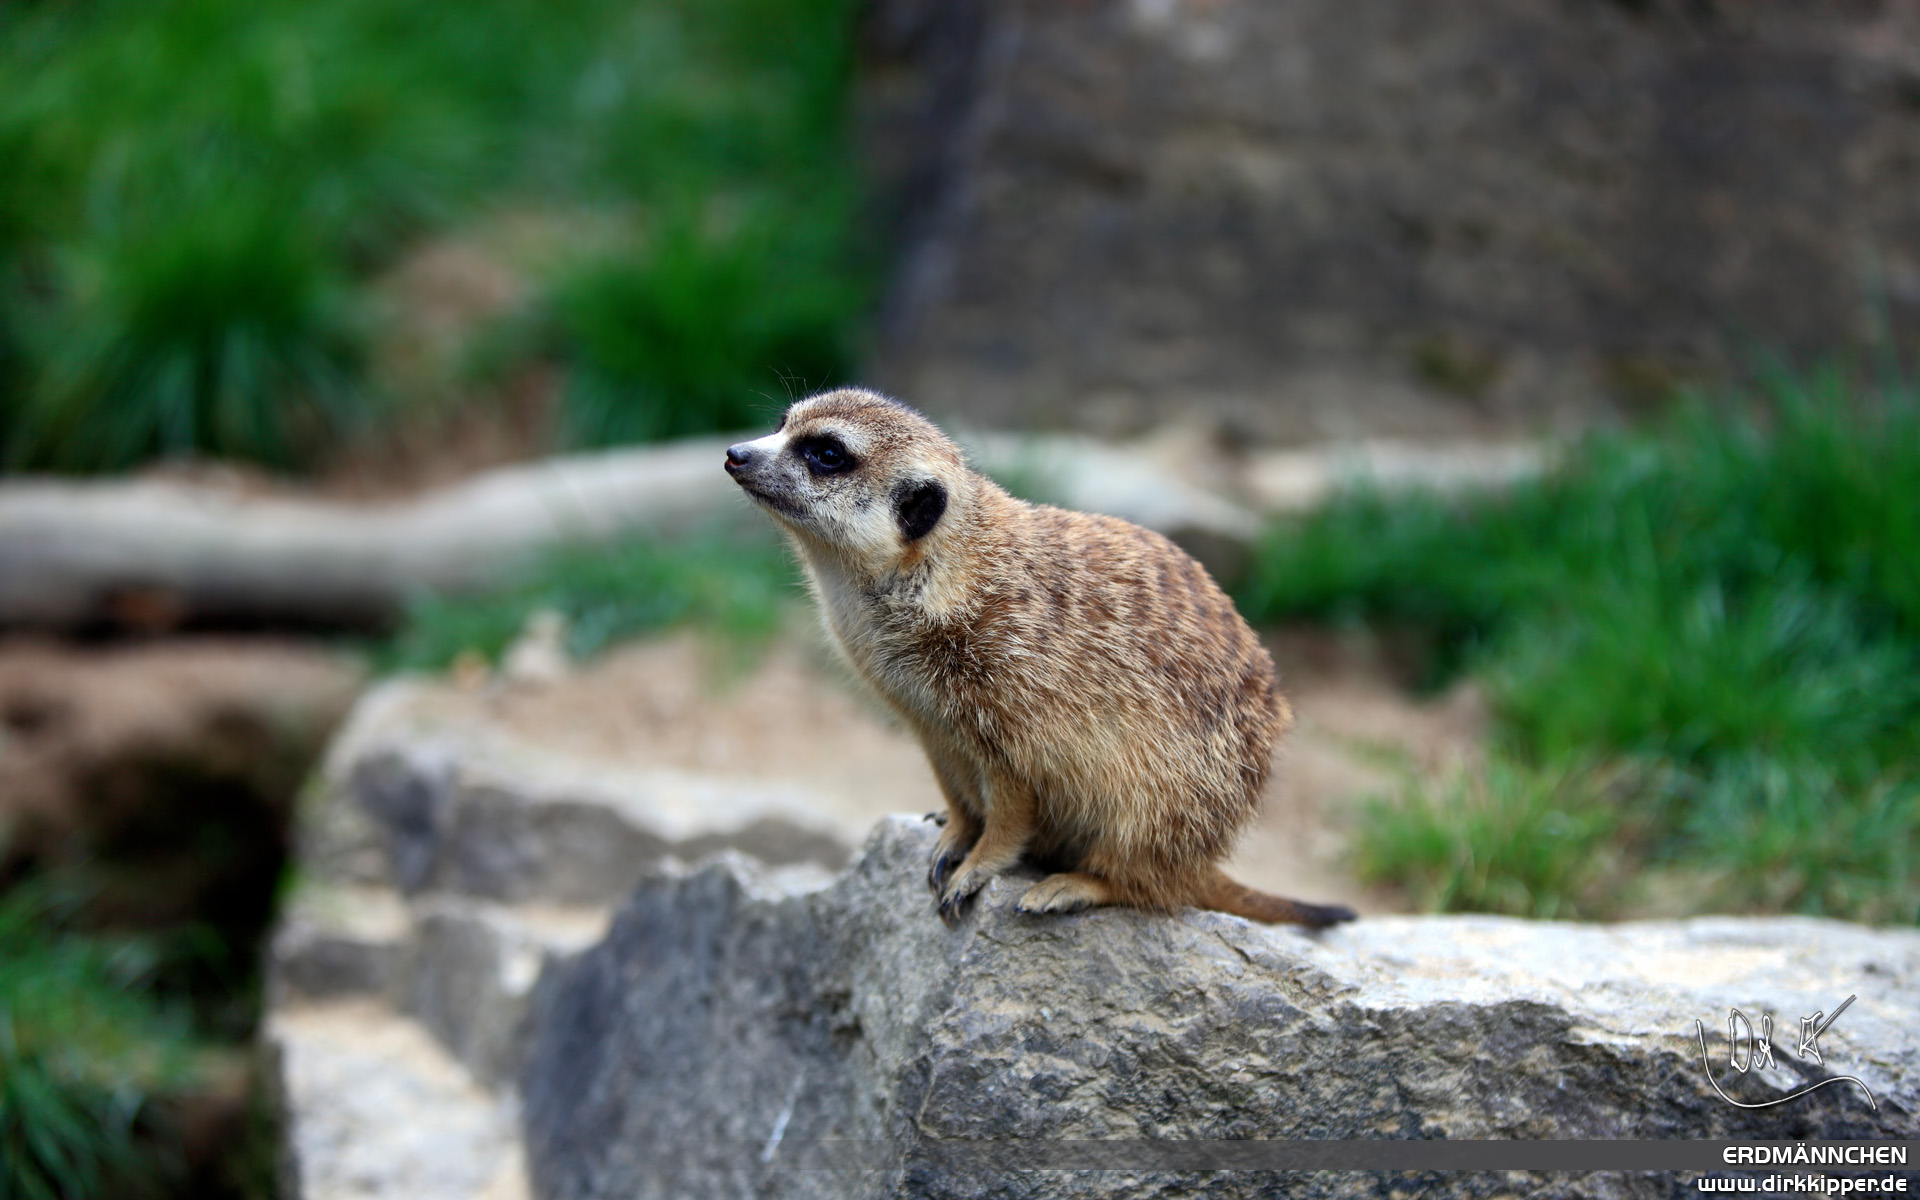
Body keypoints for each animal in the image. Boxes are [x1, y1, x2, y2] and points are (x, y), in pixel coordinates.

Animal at [724, 388, 1355, 929]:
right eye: (782, 422)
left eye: (827, 454)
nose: (735, 453)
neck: (936, 578)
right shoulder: (924, 715)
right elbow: (947, 773)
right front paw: (955, 828)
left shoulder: (1016, 684)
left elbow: (1016, 797)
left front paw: (980, 861)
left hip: (1175, 789)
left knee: (1147, 863)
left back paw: (1080, 883)